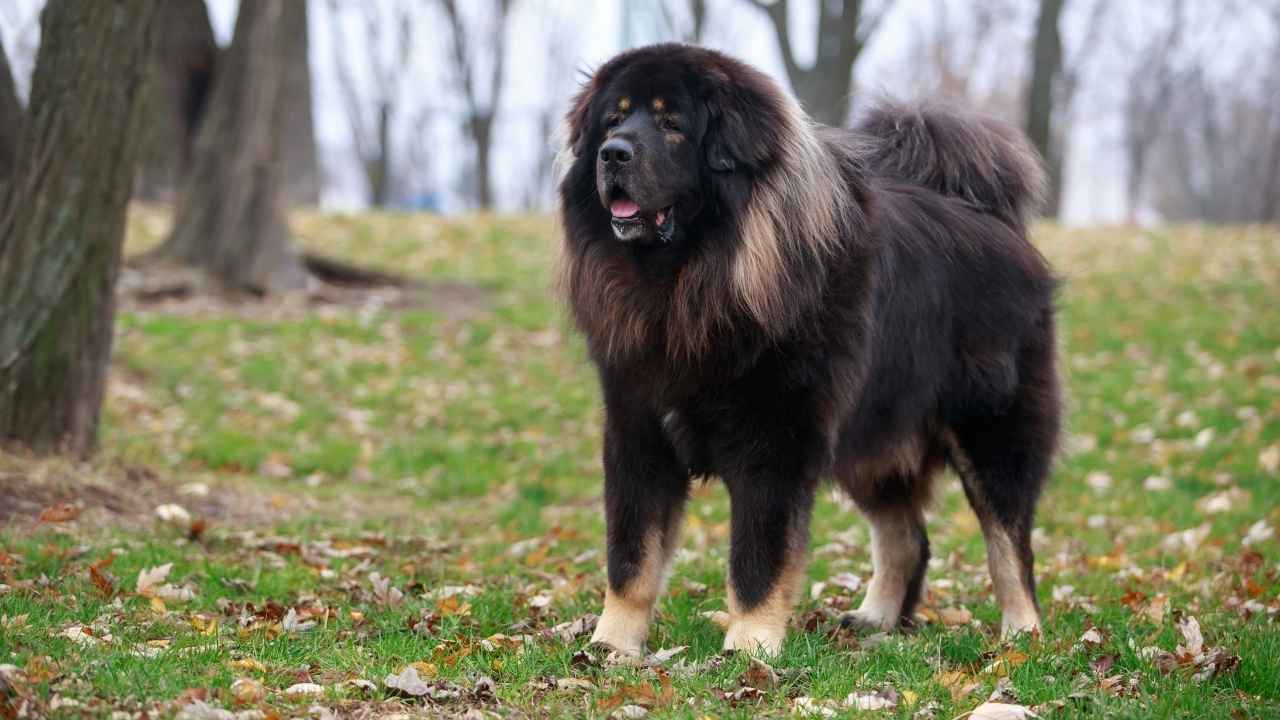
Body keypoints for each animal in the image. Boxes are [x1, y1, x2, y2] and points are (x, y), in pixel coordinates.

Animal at [560, 41, 1059, 653]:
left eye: (672, 124)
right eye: (614, 119)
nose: (613, 153)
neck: (688, 282)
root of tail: (994, 221)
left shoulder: (776, 441)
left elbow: (757, 561)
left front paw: (749, 647)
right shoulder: (638, 431)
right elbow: (631, 557)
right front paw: (610, 647)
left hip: (990, 432)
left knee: (1010, 543)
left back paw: (1022, 634)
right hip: (871, 440)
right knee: (907, 538)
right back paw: (875, 620)